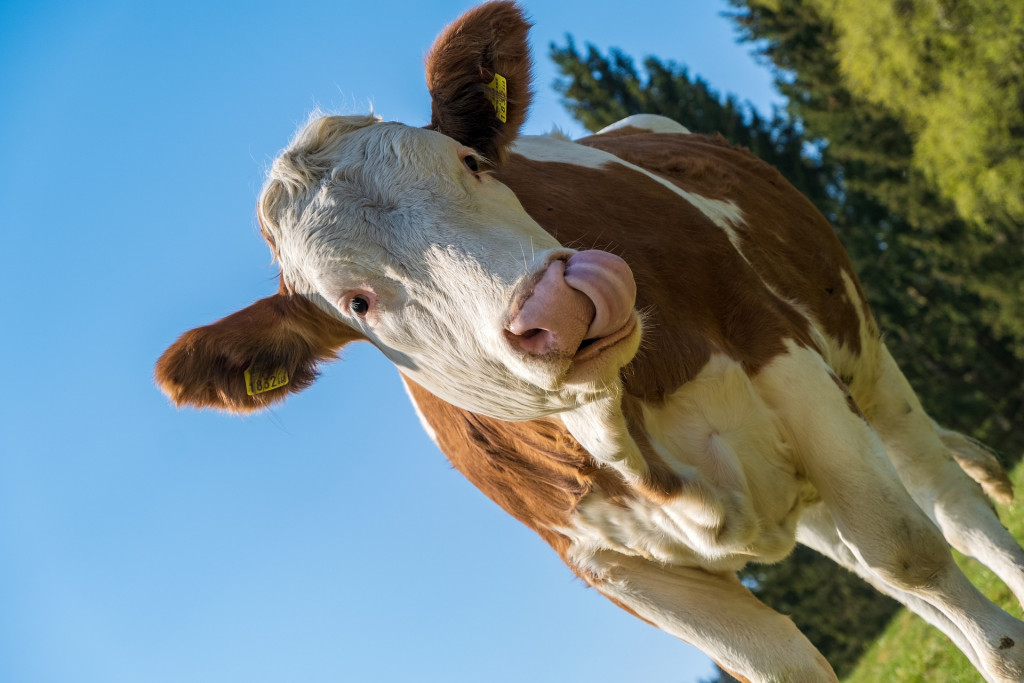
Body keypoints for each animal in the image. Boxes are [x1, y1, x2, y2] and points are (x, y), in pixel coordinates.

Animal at [155, 3, 1024, 681]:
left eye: (471, 163)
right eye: (355, 303)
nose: (561, 304)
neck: (622, 429)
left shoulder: (782, 358)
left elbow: (909, 551)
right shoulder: (608, 564)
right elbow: (787, 658)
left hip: (860, 354)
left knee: (947, 502)